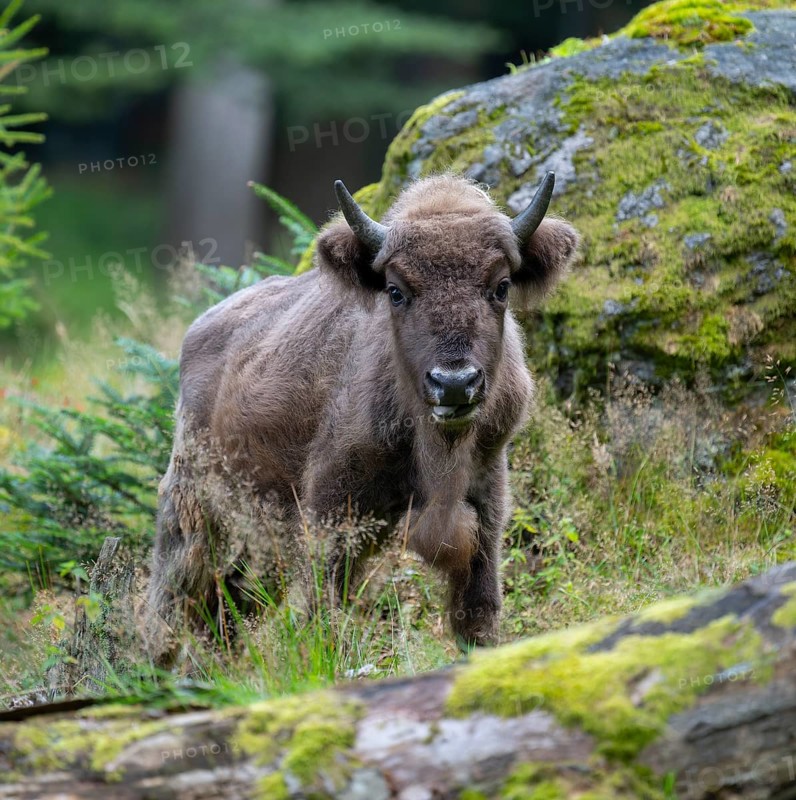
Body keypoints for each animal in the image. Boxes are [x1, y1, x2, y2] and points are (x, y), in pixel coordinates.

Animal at [144, 172, 578, 664]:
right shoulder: (332, 507)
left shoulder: (486, 498)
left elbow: (478, 610)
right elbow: (322, 610)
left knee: (228, 607)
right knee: (174, 598)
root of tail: (200, 329)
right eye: (396, 291)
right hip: (194, 508)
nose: (453, 383)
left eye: (502, 286)